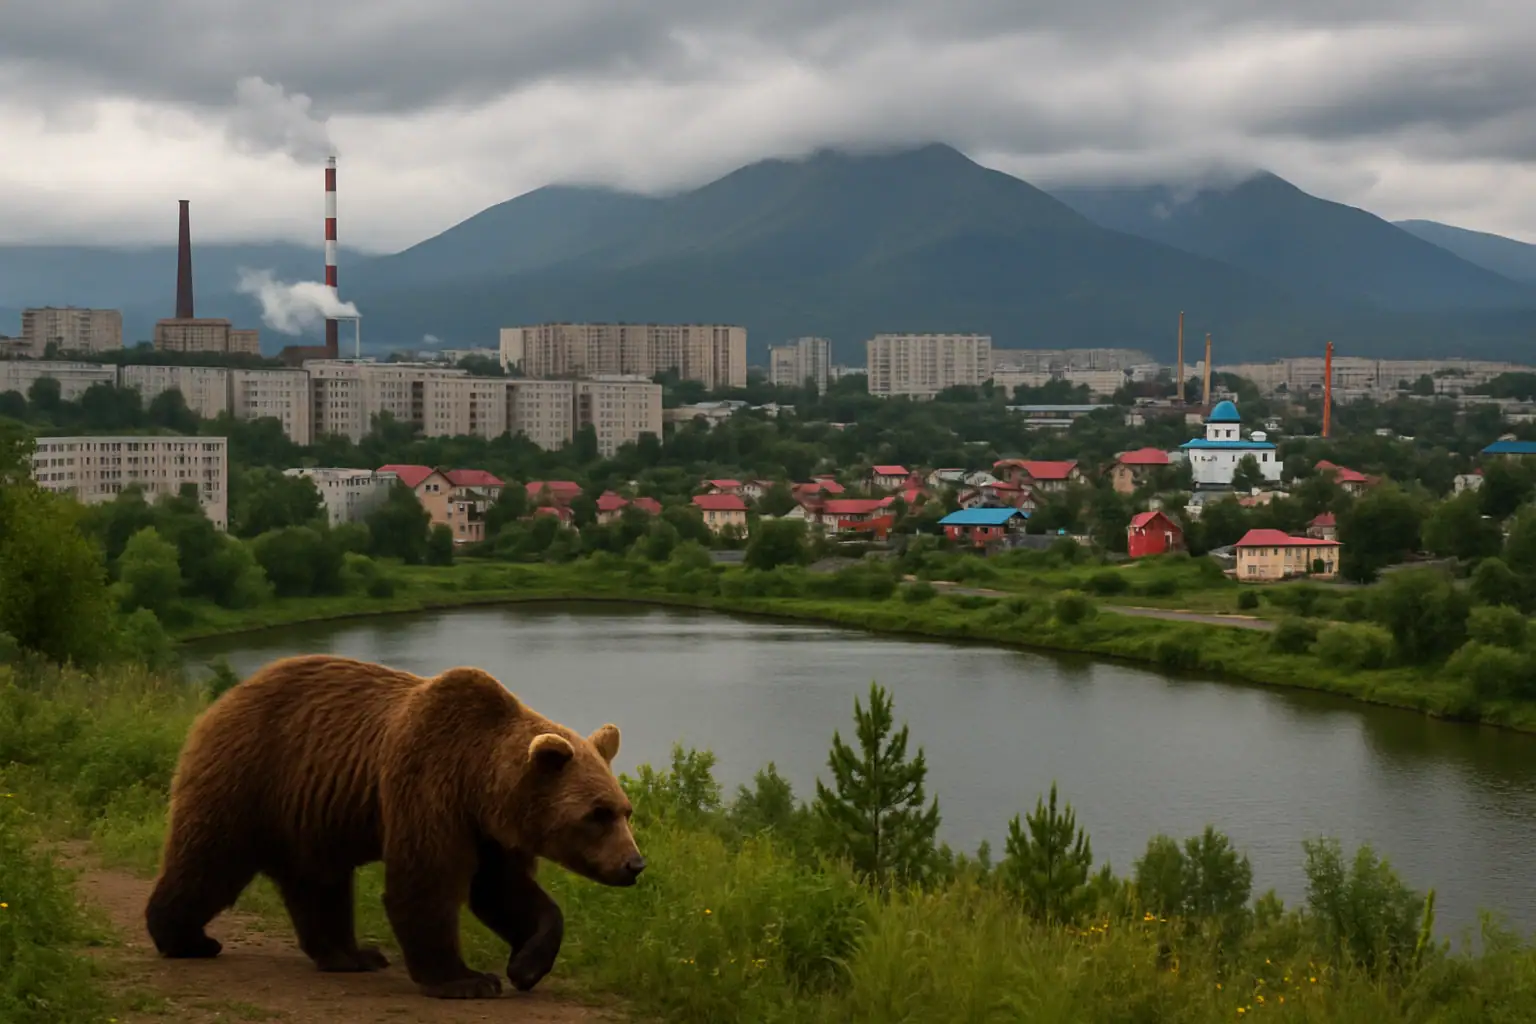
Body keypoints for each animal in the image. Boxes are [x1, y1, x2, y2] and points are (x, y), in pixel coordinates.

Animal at [144, 653, 645, 1000]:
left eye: (625, 810)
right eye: (596, 814)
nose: (634, 864)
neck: (479, 783)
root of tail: (222, 699)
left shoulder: (491, 832)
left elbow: (505, 892)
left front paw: (524, 966)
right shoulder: (429, 785)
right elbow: (426, 881)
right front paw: (466, 980)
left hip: (309, 812)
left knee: (319, 883)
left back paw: (351, 955)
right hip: (251, 774)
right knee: (210, 858)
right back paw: (185, 937)